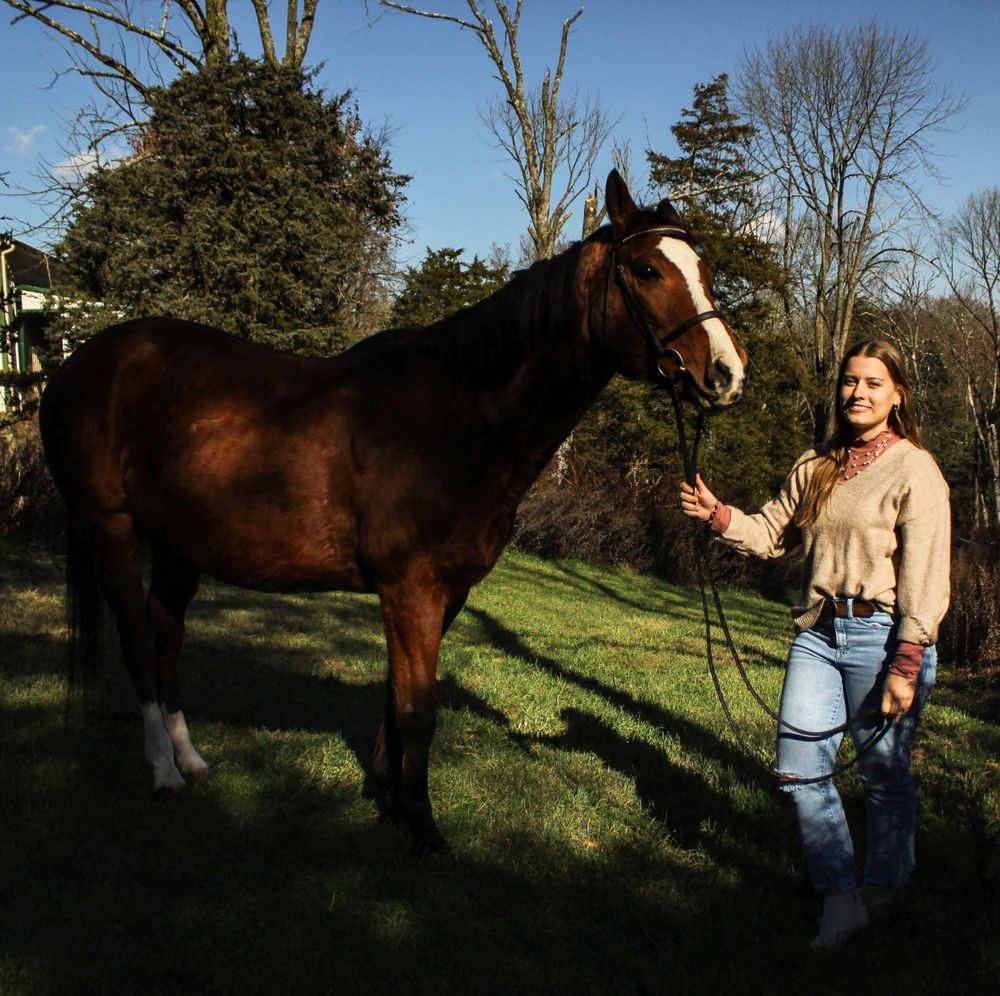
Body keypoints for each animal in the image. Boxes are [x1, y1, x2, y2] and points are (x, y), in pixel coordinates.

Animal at [39, 170, 746, 857]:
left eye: (706, 271)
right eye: (648, 270)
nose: (727, 374)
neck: (463, 416)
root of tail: (81, 363)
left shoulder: (443, 593)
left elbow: (392, 697)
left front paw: (385, 792)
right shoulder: (411, 590)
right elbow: (417, 711)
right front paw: (421, 824)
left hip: (179, 546)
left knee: (166, 633)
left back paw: (190, 759)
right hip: (112, 530)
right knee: (137, 639)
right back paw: (163, 773)